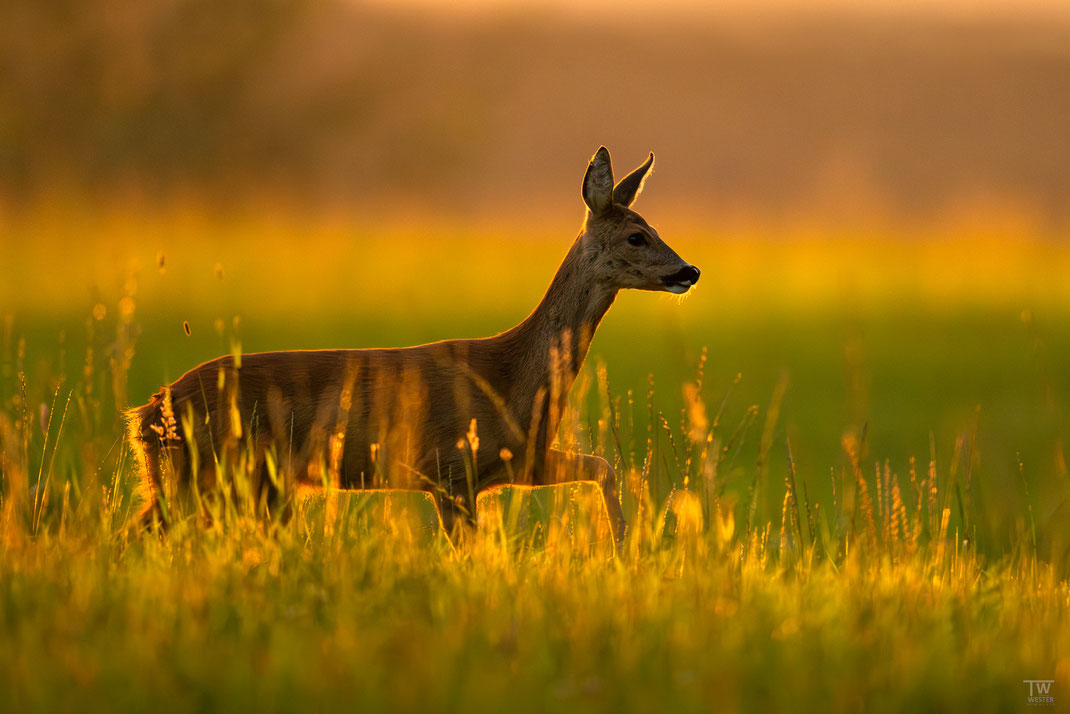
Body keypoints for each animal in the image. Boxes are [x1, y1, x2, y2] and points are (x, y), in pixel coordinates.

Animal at [125, 149, 701, 541]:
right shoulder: (449, 470)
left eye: (652, 227)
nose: (689, 270)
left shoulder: (518, 462)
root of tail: (147, 412)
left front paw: (624, 546)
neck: (513, 377)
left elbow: (604, 466)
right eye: (636, 237)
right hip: (210, 471)